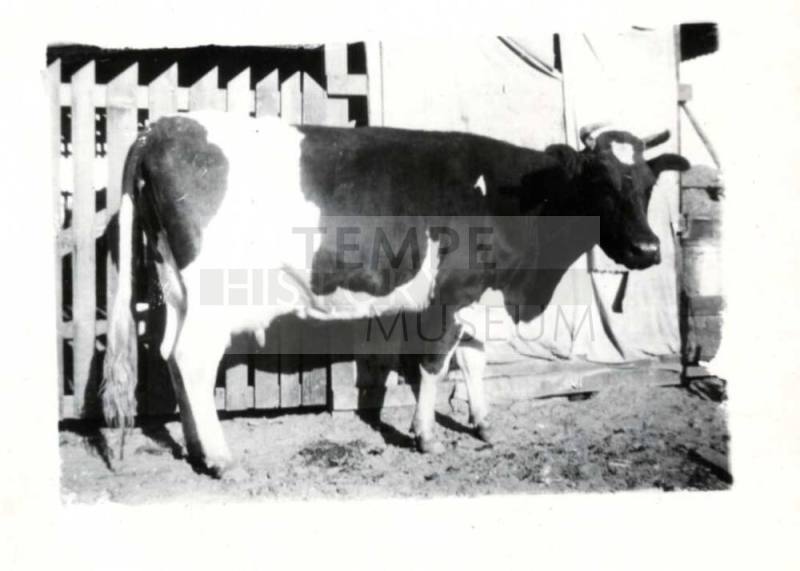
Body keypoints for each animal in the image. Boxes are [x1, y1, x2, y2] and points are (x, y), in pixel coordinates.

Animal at [102, 111, 689, 478]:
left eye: (648, 185)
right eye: (601, 182)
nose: (648, 248)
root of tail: (160, 127)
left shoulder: (478, 294)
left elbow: (474, 358)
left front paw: (484, 424)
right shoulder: (450, 291)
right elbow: (435, 362)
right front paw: (426, 435)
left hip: (177, 285)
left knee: (170, 355)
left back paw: (197, 449)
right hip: (211, 292)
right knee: (193, 359)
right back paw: (221, 458)